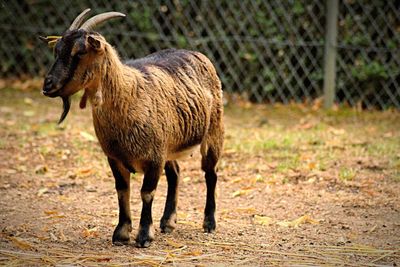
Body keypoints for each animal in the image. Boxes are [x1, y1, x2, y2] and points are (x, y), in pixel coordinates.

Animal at [41, 9, 223, 248]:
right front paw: (121, 233)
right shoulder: (116, 157)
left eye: (79, 52)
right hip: (169, 142)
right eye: (57, 49)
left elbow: (147, 193)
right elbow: (122, 191)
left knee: (210, 174)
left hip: (213, 131)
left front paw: (144, 236)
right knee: (175, 174)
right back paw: (168, 222)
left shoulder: (153, 157)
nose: (48, 85)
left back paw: (209, 223)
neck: (129, 93)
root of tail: (197, 54)